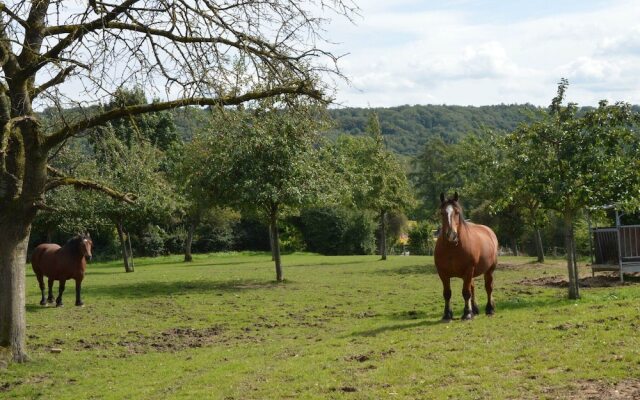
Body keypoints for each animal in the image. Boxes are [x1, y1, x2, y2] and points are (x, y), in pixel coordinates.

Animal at [432, 192, 498, 320]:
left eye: (457, 212)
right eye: (442, 213)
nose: (451, 235)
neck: (452, 248)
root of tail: (489, 231)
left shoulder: (468, 270)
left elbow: (466, 292)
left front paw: (467, 313)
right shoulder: (443, 273)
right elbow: (447, 293)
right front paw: (447, 314)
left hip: (489, 270)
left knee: (488, 287)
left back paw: (489, 309)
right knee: (473, 288)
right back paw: (475, 310)